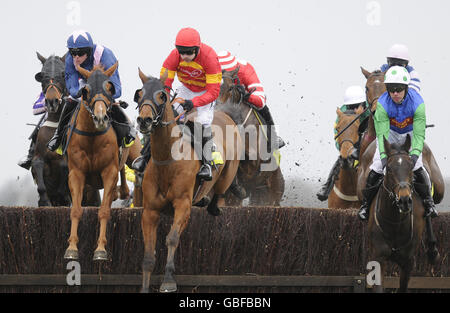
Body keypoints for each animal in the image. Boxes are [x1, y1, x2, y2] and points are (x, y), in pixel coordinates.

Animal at [61, 62, 125, 260]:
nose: (100, 117)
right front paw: (72, 247)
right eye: (85, 90)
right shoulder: (76, 173)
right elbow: (76, 210)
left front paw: (100, 249)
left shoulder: (110, 171)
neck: (91, 136)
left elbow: (104, 211)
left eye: (110, 88)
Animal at [136, 69, 243, 292]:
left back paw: (213, 204)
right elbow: (148, 255)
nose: (144, 120)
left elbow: (172, 238)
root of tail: (225, 114)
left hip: (228, 171)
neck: (168, 160)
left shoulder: (182, 205)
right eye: (139, 94)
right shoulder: (150, 210)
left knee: (219, 192)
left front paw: (168, 280)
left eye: (162, 96)